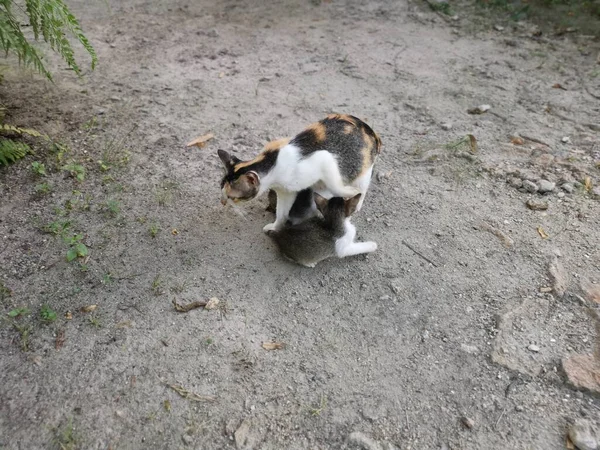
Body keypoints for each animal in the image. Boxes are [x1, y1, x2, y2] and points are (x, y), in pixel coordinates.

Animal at [218, 112, 382, 232]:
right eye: (221, 190)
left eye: (232, 197)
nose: (222, 202)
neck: (272, 161)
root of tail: (371, 131)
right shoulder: (286, 192)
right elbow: (282, 214)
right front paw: (275, 228)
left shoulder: (324, 159)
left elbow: (337, 185)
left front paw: (350, 192)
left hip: (364, 170)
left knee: (362, 187)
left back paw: (356, 199)